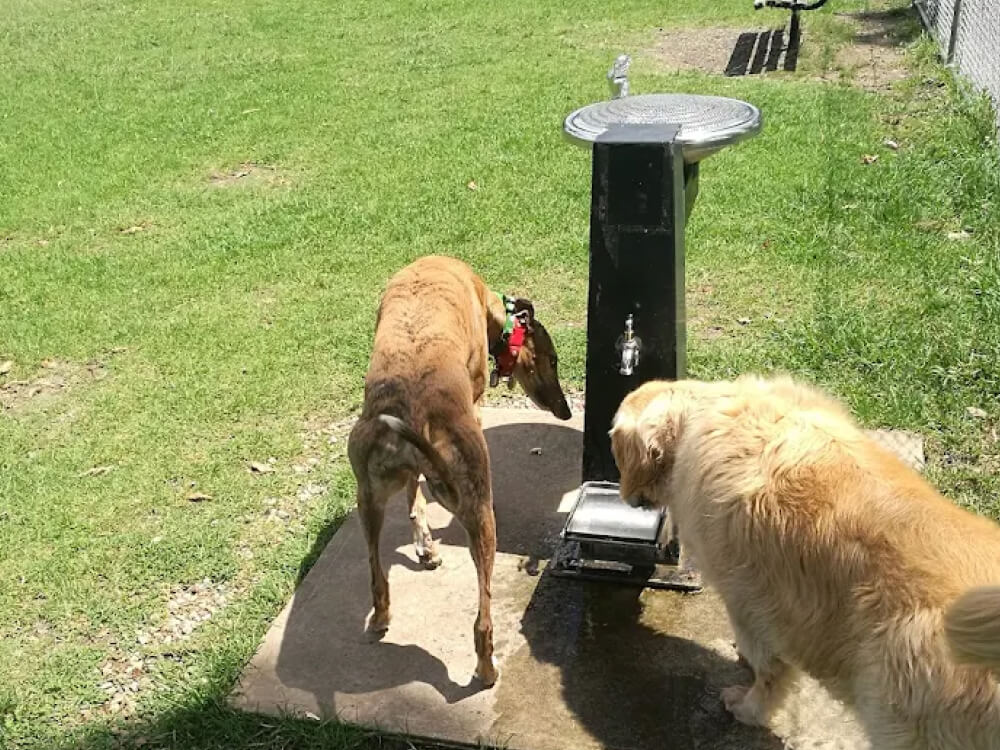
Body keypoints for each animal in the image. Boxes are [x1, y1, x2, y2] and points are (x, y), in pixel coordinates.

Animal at [348, 255, 571, 687]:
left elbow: (414, 497)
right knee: (482, 618)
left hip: (367, 498)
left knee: (376, 577)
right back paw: (487, 670)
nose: (566, 411)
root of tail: (414, 415)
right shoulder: (478, 399)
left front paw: (424, 543)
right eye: (552, 359)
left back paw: (381, 616)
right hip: (478, 514)